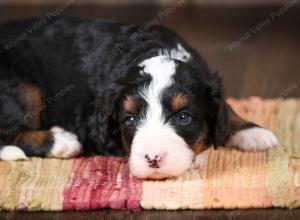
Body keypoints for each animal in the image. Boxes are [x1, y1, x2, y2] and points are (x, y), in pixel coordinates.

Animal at [0, 16, 278, 179]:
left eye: (184, 118)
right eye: (130, 121)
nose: (153, 159)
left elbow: (224, 107)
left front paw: (250, 130)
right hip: (24, 88)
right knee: (9, 133)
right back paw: (61, 141)